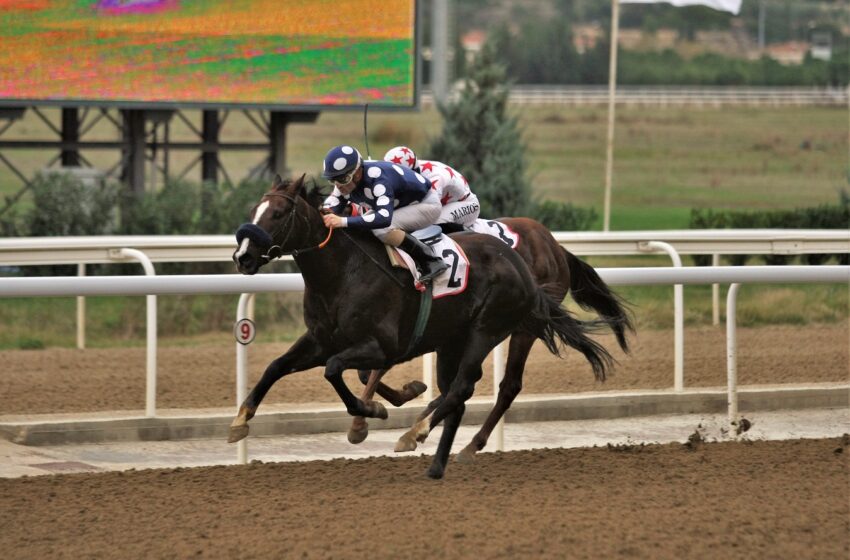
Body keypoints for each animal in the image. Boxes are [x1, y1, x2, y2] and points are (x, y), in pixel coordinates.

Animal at [348, 214, 632, 460]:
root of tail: (556, 247)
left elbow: (375, 370)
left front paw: (365, 420)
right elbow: (369, 372)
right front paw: (379, 410)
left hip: (522, 325)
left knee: (507, 384)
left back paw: (470, 444)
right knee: (470, 379)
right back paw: (427, 419)